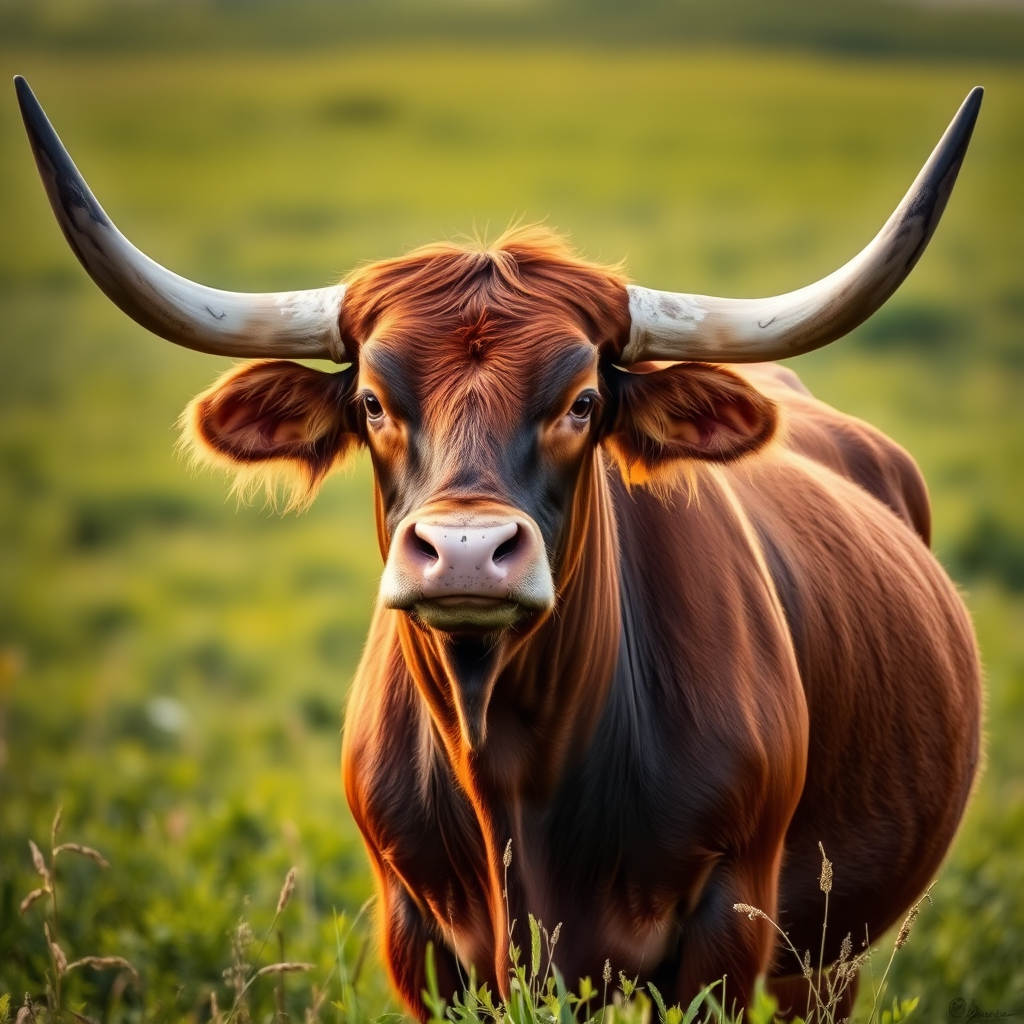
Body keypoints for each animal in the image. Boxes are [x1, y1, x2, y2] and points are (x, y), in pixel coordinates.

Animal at [16, 75, 983, 1020]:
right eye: (372, 402)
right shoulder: (420, 936)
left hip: (825, 955)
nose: (467, 550)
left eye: (582, 402)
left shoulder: (730, 923)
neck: (514, 761)